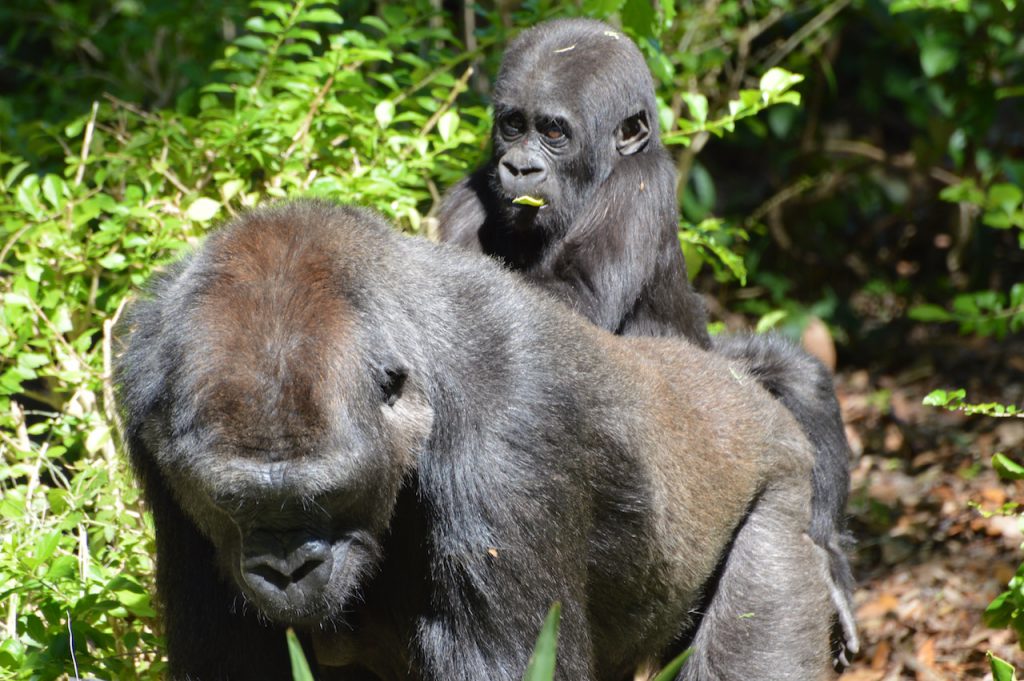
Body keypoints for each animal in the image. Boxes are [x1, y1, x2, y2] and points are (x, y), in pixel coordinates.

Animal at [117, 199, 839, 675]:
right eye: (232, 502)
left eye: (327, 495)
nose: (287, 570)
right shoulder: (146, 393)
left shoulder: (510, 434)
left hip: (780, 491)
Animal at [438, 17, 856, 659]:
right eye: (512, 125)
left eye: (553, 132)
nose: (520, 169)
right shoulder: (469, 193)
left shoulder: (642, 183)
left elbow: (571, 306)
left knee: (795, 378)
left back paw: (827, 553)